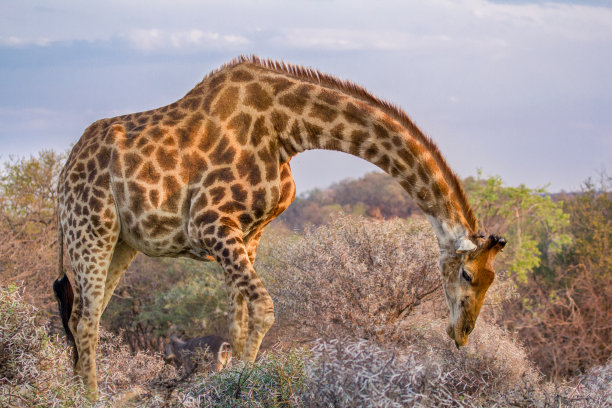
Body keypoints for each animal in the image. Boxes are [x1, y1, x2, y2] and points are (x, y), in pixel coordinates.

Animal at [52, 55, 504, 398]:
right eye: (467, 275)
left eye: (491, 280)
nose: (462, 335)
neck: (287, 131)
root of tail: (65, 169)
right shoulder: (211, 223)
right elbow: (265, 309)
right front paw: (242, 381)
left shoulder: (249, 233)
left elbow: (237, 322)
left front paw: (231, 379)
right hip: (91, 228)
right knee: (87, 320)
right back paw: (88, 397)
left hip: (121, 243)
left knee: (82, 316)